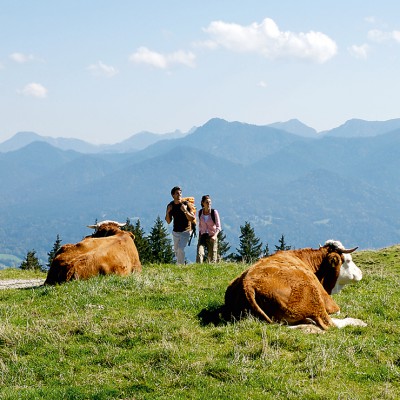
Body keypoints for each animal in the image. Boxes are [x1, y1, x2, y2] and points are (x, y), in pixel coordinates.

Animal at [223, 239, 368, 330]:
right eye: (348, 260)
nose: (361, 273)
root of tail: (248, 283)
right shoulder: (329, 302)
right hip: (314, 297)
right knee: (330, 324)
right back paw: (359, 322)